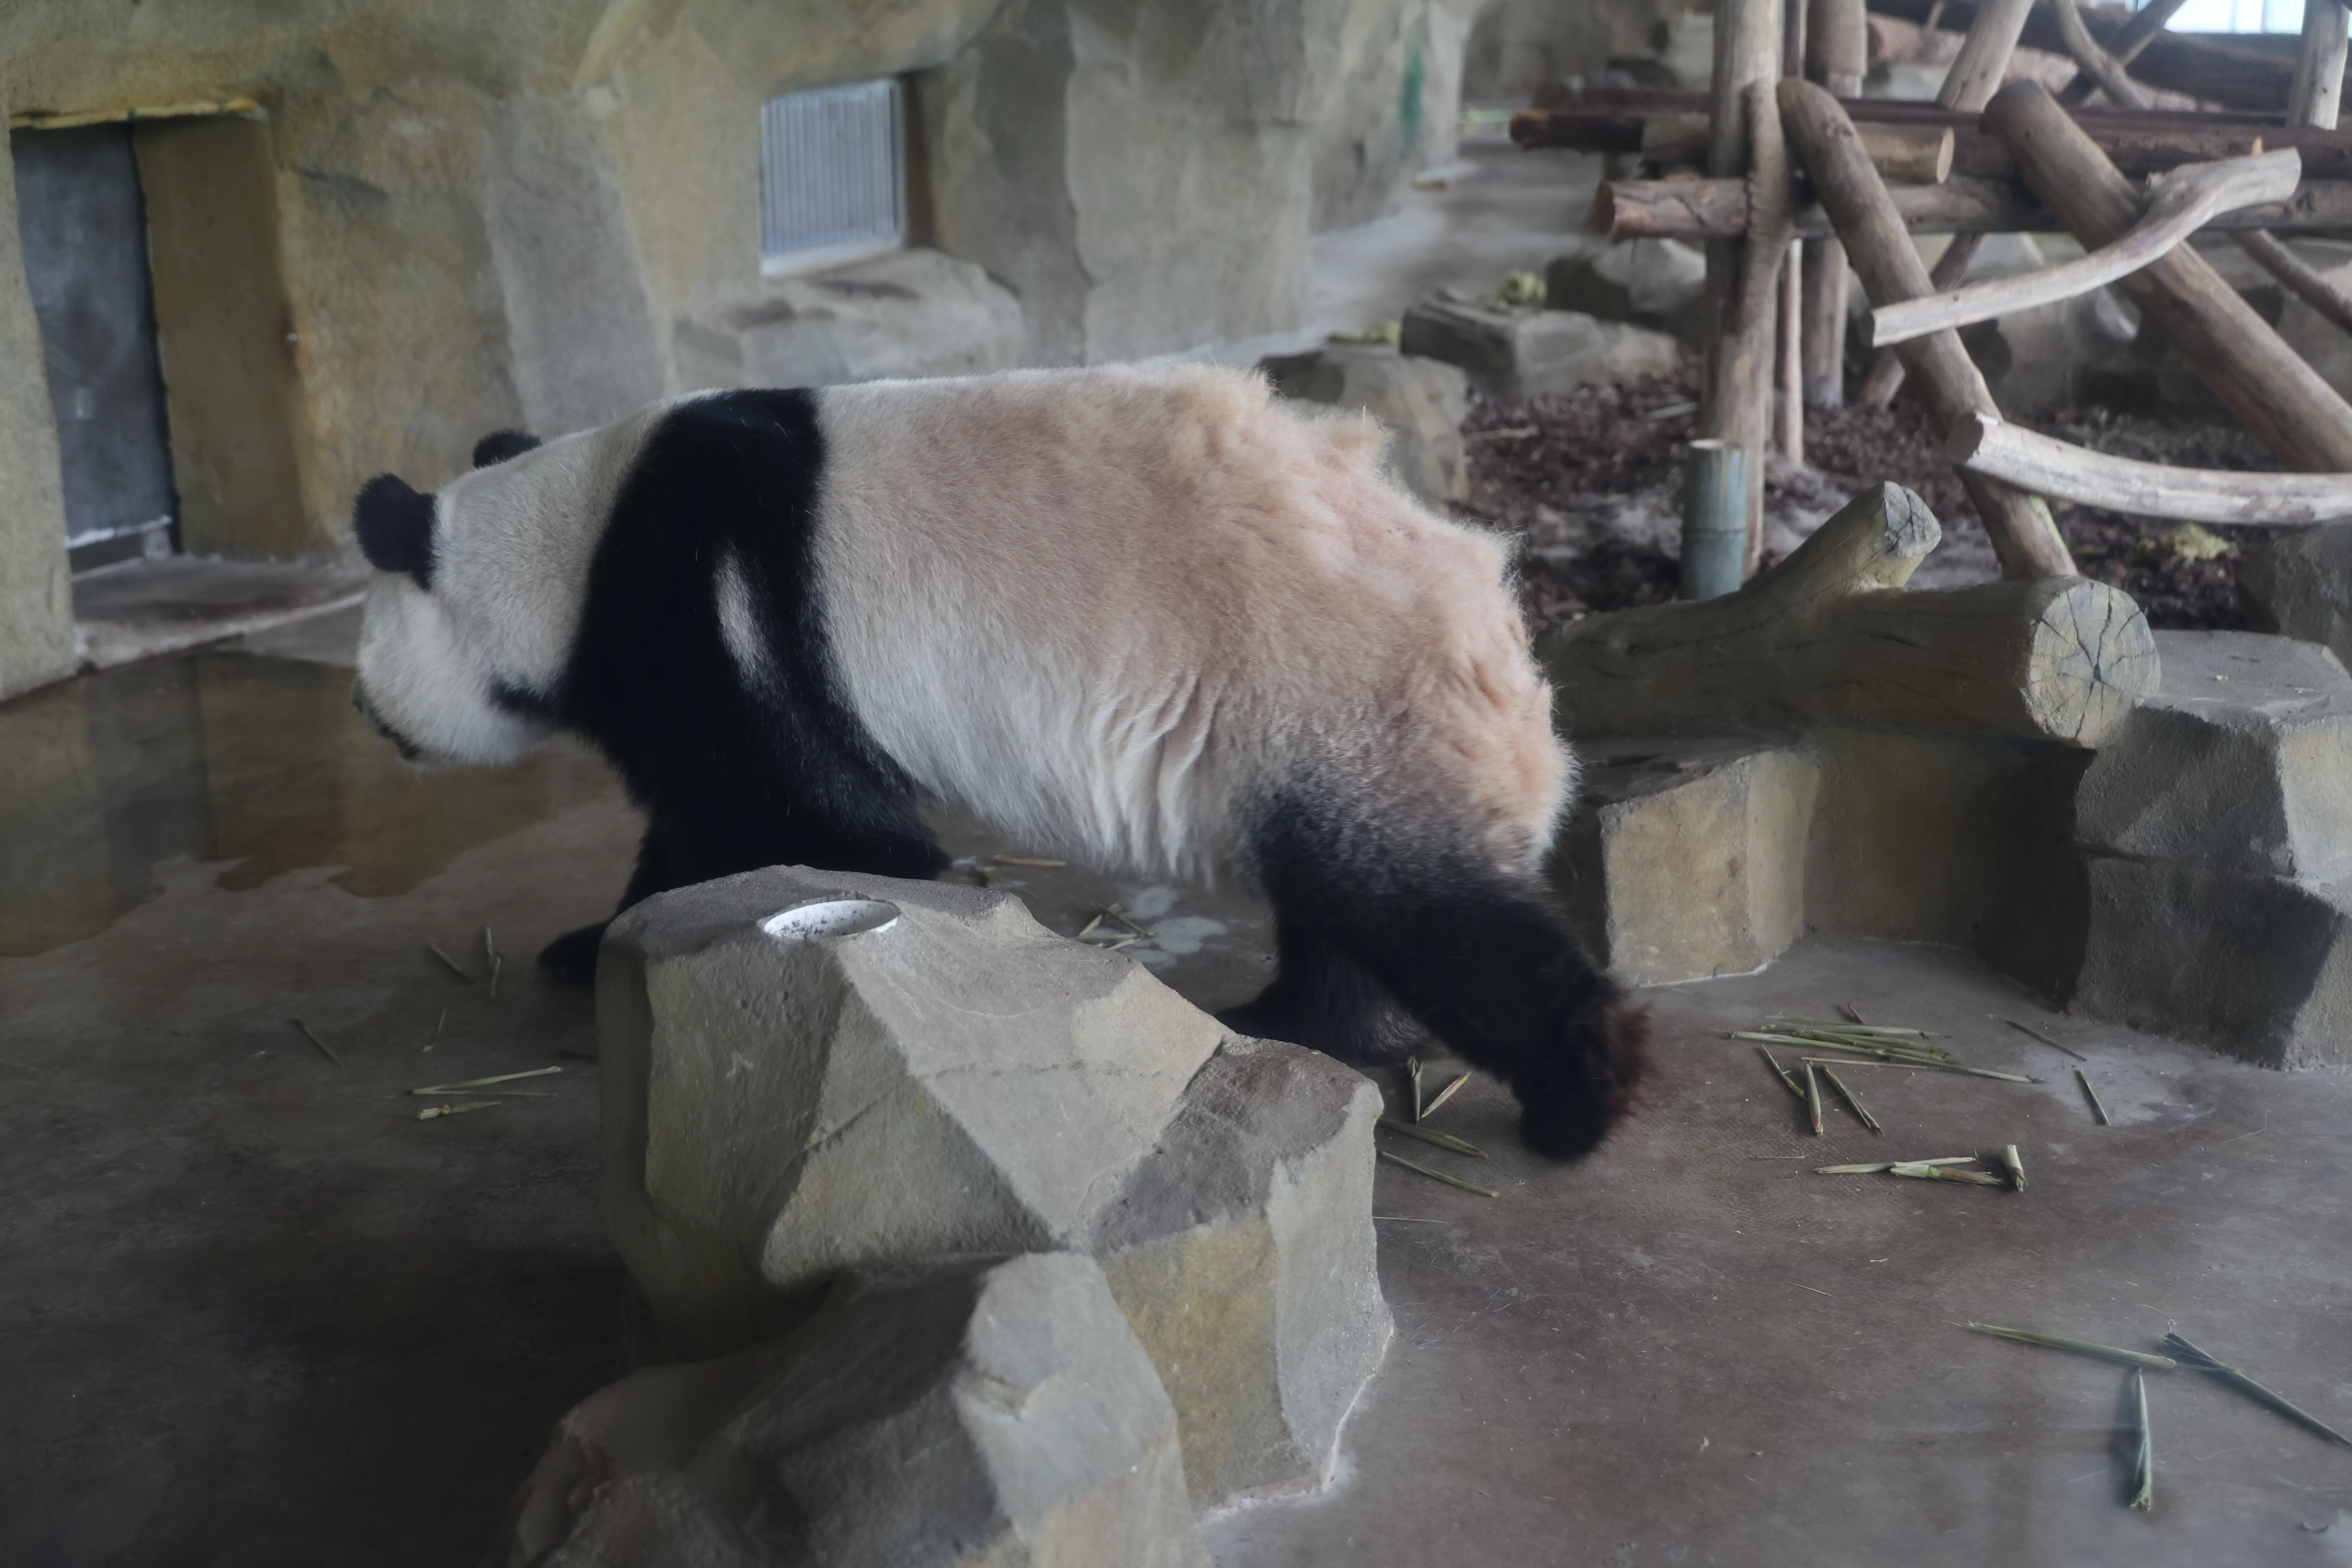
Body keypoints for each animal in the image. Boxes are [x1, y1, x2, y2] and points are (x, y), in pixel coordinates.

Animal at [349, 364, 1646, 1158]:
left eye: (366, 671)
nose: (373, 722)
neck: (576, 536)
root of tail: (1496, 632)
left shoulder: (710, 608)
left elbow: (809, 819)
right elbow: (710, 822)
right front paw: (587, 945)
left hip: (1337, 698)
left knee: (1429, 914)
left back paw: (1578, 1100)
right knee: (1345, 909)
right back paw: (1302, 1021)